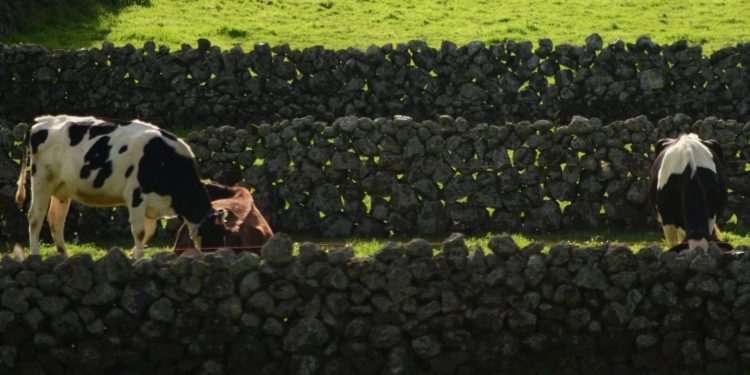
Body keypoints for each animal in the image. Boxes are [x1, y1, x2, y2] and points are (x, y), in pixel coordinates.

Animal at [14, 114, 231, 260]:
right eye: (219, 234)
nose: (218, 257)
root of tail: (41, 121)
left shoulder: (151, 204)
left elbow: (149, 231)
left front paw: (134, 253)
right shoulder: (136, 194)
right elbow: (140, 231)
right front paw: (139, 258)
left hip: (62, 189)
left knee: (56, 220)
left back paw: (63, 254)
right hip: (41, 180)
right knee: (35, 218)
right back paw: (35, 254)